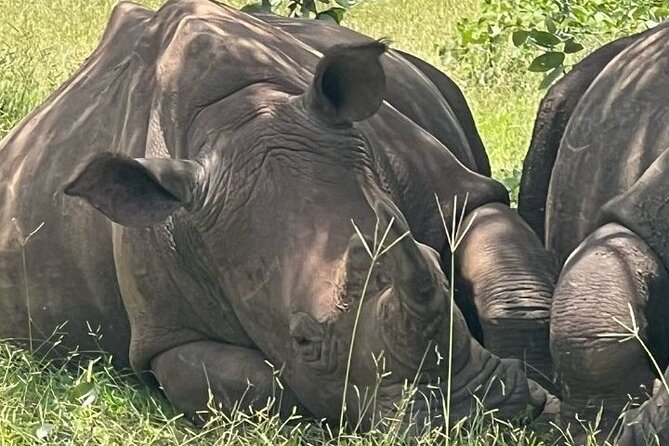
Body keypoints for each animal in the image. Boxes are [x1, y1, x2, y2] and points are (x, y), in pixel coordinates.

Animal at [0, 0, 556, 429]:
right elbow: (245, 386)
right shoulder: (167, 331)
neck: (242, 117)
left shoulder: (449, 187)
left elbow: (511, 282)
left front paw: (549, 400)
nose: (469, 416)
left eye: (437, 264)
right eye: (303, 339)